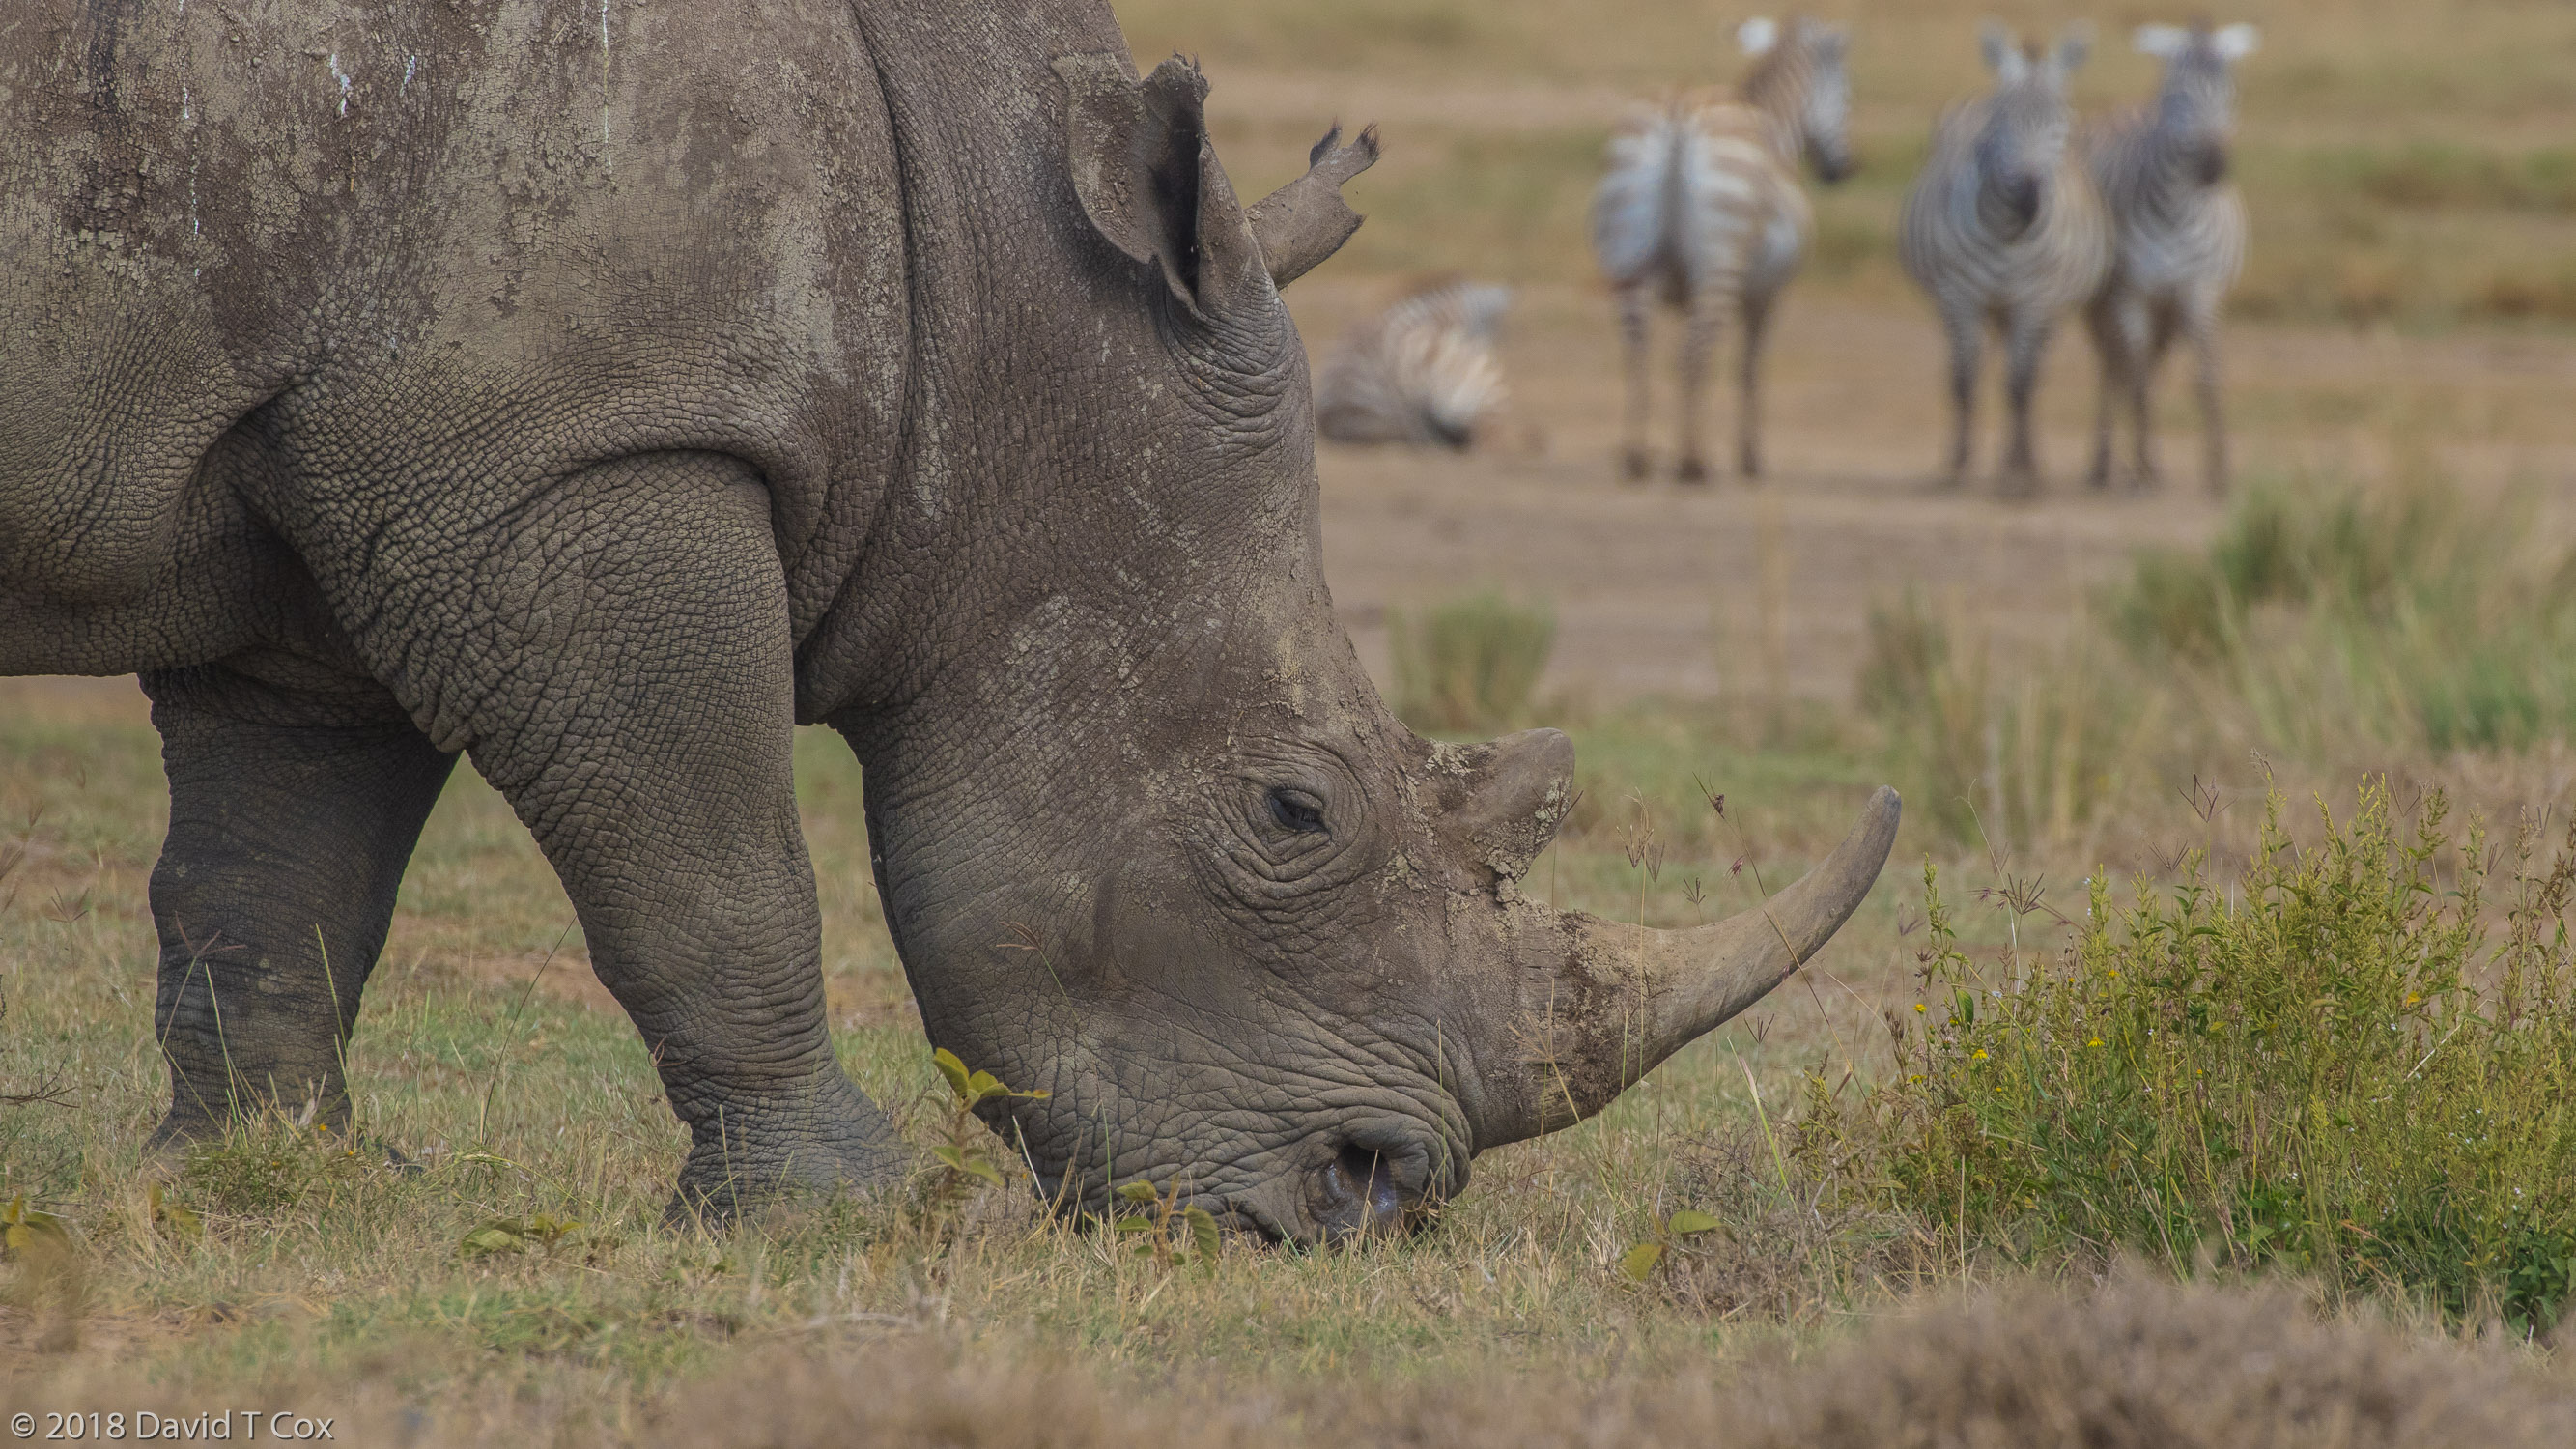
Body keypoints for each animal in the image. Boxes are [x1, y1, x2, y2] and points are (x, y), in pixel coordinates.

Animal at [0, 0, 1897, 1242]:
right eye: (1293, 813)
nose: (1373, 1198)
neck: (989, 286)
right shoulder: (575, 447)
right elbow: (709, 864)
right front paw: (832, 1216)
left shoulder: (372, 462)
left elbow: (278, 869)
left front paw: (262, 1189)